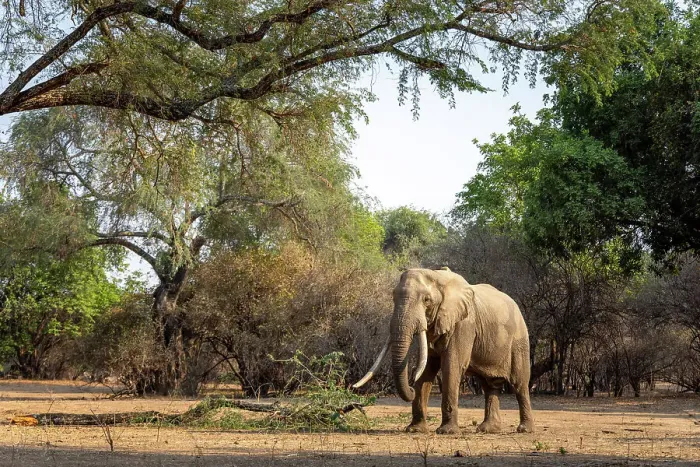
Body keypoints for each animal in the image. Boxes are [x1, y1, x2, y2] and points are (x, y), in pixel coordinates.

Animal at [354, 268, 534, 434]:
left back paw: (524, 429)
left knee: (520, 383)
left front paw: (447, 431)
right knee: (489, 384)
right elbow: (426, 370)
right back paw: (488, 429)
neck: (437, 277)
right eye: (393, 297)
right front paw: (415, 430)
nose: (410, 387)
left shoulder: (463, 324)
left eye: (426, 300)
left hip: (519, 340)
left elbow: (451, 367)